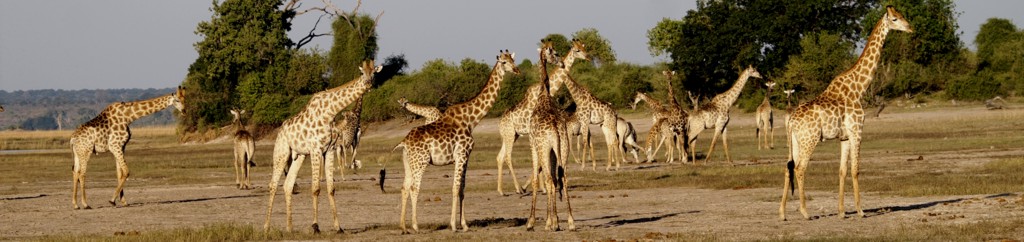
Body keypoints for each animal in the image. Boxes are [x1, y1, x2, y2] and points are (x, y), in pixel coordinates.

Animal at [260, 59, 380, 232]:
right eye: (362, 72)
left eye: (374, 72)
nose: (368, 83)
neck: (331, 112)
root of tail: (280, 130)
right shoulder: (316, 149)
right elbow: (316, 189)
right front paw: (315, 226)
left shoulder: (329, 149)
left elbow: (331, 188)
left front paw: (338, 227)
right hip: (282, 152)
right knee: (273, 185)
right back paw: (266, 227)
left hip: (299, 156)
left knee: (288, 185)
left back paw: (289, 228)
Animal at [393, 49, 520, 233]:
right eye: (503, 62)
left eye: (513, 60)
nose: (517, 70)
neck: (471, 120)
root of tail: (404, 142)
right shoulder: (461, 155)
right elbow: (454, 188)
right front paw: (453, 225)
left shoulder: (465, 157)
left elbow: (462, 189)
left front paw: (465, 224)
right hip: (421, 162)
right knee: (414, 188)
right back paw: (415, 226)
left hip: (408, 163)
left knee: (404, 187)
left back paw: (403, 227)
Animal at [528, 39, 577, 230]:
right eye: (555, 53)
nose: (562, 63)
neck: (543, 95)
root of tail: (556, 127)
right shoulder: (553, 151)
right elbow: (556, 180)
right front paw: (554, 218)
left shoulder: (534, 146)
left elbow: (536, 179)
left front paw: (532, 221)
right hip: (563, 146)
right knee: (563, 178)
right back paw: (570, 221)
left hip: (543, 148)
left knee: (549, 179)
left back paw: (551, 224)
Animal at [548, 39, 626, 170]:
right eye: (577, 50)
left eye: (581, 49)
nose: (588, 57)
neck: (578, 97)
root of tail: (615, 112)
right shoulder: (583, 122)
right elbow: (585, 142)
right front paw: (589, 165)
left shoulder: (585, 121)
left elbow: (585, 142)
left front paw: (583, 166)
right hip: (604, 125)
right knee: (610, 142)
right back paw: (610, 166)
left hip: (610, 123)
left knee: (614, 141)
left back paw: (617, 166)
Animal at [778, 5, 917, 221]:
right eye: (895, 19)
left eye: (902, 16)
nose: (910, 28)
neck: (859, 88)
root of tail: (791, 120)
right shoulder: (857, 131)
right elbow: (855, 170)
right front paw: (860, 211)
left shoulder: (844, 137)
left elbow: (842, 170)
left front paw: (842, 212)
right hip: (809, 139)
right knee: (800, 169)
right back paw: (805, 212)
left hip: (793, 141)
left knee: (788, 168)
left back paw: (783, 213)